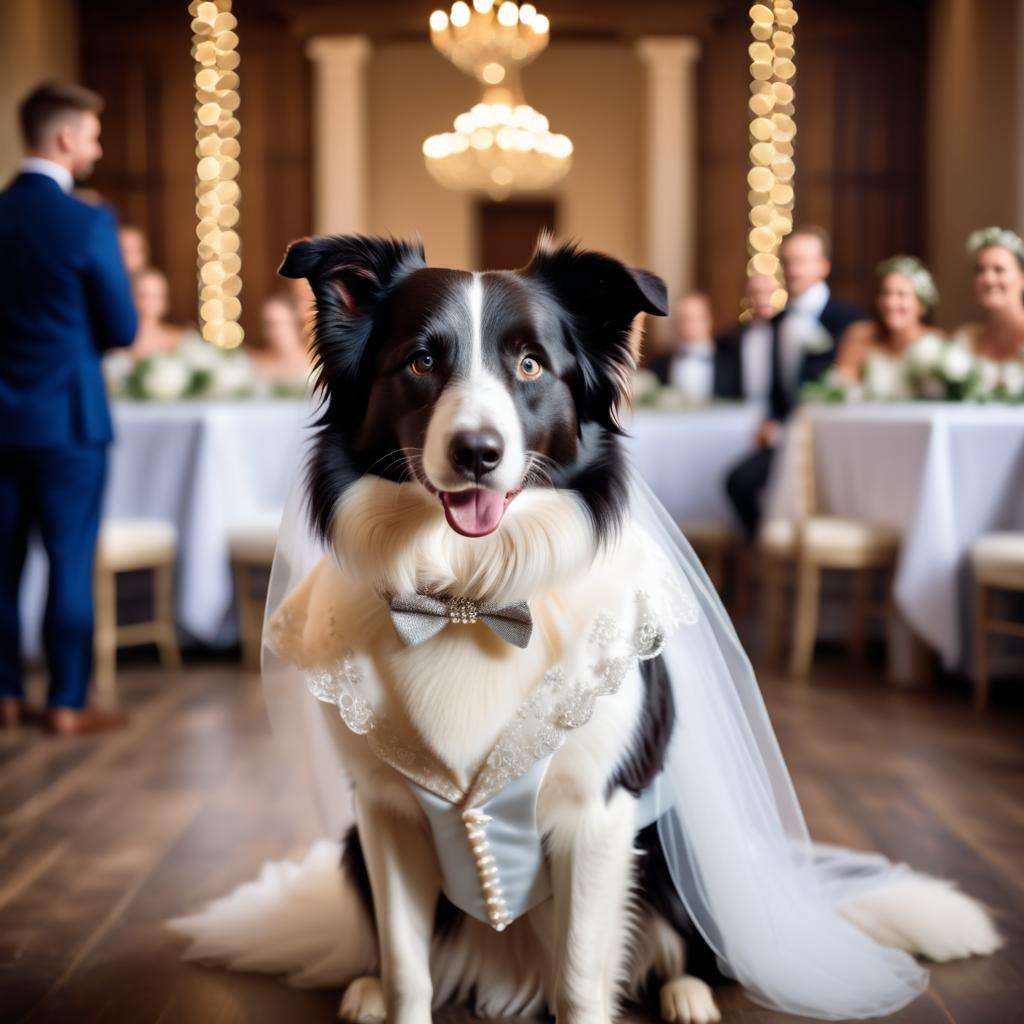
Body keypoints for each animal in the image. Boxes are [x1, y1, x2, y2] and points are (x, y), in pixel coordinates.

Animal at [174, 235, 999, 1024]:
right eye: (421, 362)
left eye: (531, 364)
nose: (478, 453)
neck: (471, 595)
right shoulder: (384, 812)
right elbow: (408, 965)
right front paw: (392, 993)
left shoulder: (598, 815)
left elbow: (579, 981)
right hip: (354, 845)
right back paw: (368, 987)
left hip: (681, 840)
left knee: (696, 948)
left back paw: (688, 994)